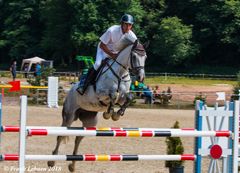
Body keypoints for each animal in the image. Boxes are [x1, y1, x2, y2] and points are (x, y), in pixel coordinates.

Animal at [47, 40, 147, 172]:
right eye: (134, 56)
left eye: (145, 57)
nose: (141, 77)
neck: (120, 73)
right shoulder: (100, 94)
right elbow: (113, 95)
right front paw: (109, 113)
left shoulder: (123, 97)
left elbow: (129, 97)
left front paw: (116, 114)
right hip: (69, 116)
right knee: (61, 136)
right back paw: (51, 161)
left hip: (90, 121)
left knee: (78, 138)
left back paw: (72, 165)